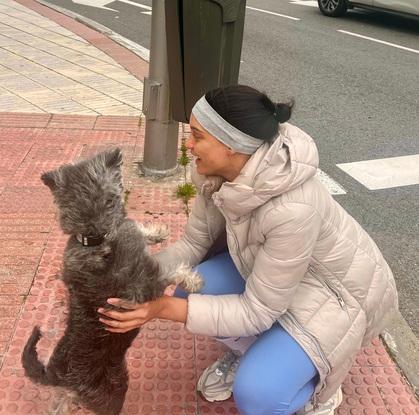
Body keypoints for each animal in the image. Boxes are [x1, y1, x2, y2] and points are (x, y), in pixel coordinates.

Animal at [21, 150, 202, 415]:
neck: (95, 238)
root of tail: (58, 377)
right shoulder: (147, 284)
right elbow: (172, 271)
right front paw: (193, 280)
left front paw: (155, 232)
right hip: (114, 392)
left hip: (63, 397)